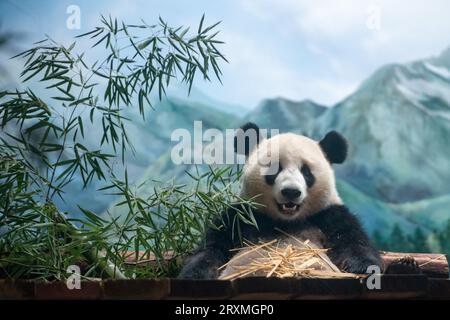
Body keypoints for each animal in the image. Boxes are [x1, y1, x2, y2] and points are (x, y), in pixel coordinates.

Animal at [178, 124, 420, 278]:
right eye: (275, 169)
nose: (291, 192)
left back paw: (406, 266)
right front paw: (194, 272)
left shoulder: (328, 215)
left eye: (306, 172)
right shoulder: (243, 215)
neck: (286, 221)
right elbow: (213, 247)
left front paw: (362, 267)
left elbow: (354, 242)